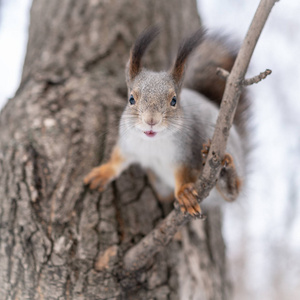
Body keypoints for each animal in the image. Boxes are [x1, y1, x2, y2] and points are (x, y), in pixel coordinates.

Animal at [83, 26, 247, 218]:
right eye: (131, 99)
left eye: (174, 101)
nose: (151, 120)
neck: (152, 143)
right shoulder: (128, 144)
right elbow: (118, 160)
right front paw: (103, 172)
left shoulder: (184, 154)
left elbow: (184, 175)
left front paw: (184, 193)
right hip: (160, 185)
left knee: (233, 193)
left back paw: (226, 174)